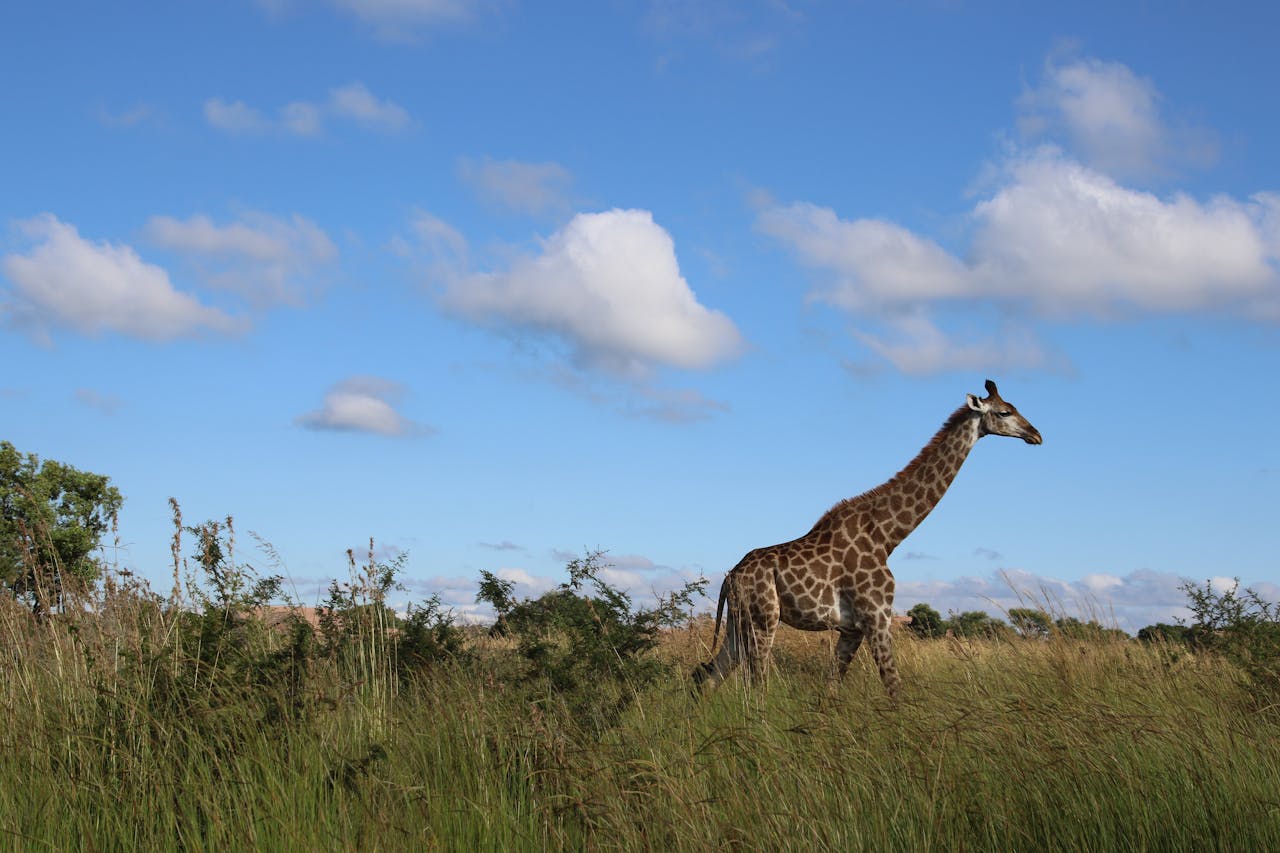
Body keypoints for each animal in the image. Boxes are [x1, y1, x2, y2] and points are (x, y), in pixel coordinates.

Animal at [691, 379, 1039, 696]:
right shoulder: (878, 617)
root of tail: (730, 577)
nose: (1036, 434)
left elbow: (831, 689)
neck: (887, 535)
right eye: (1005, 412)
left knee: (709, 677)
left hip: (739, 622)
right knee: (755, 686)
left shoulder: (852, 629)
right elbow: (894, 687)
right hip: (763, 618)